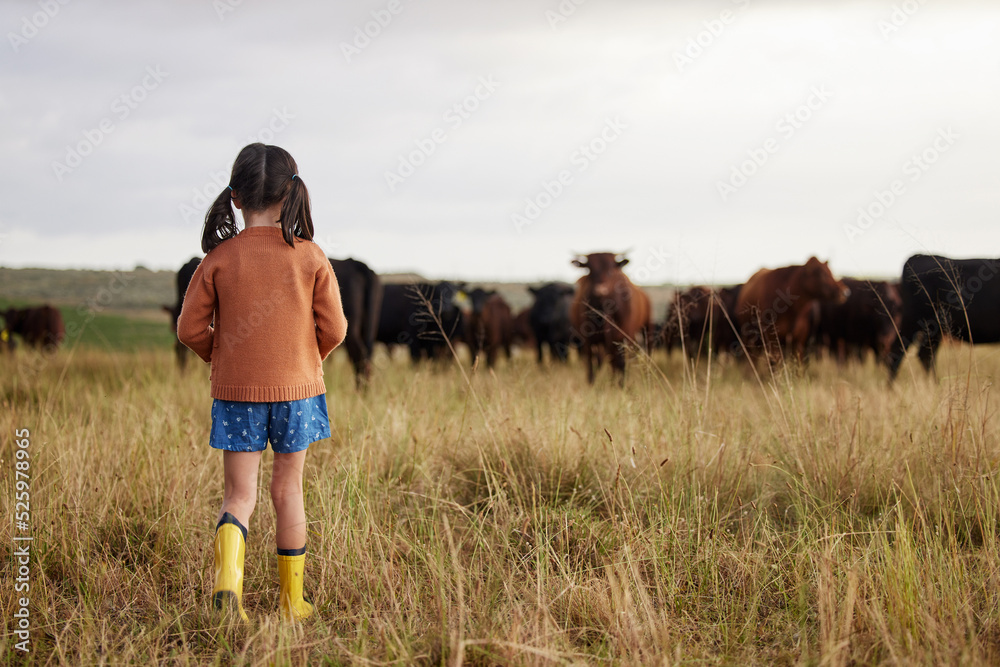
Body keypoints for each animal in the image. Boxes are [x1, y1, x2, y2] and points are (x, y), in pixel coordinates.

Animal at [576, 252, 652, 386]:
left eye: (611, 270)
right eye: (589, 269)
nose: (601, 290)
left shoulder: (623, 337)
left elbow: (621, 363)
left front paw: (622, 384)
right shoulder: (588, 339)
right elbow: (592, 363)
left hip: (646, 329)